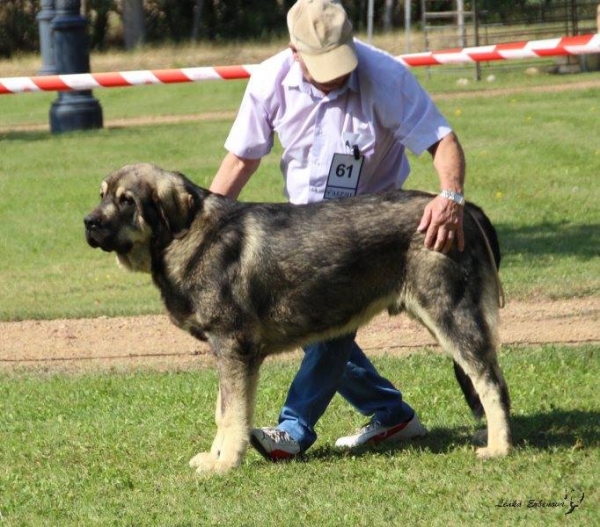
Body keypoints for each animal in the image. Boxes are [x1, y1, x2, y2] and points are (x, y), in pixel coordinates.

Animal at [83, 162, 510, 474]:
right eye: (102, 195)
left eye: (127, 201)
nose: (88, 222)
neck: (186, 235)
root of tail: (462, 211)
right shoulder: (231, 354)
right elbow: (223, 411)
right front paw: (216, 457)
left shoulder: (233, 348)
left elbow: (232, 414)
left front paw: (225, 464)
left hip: (451, 314)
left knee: (490, 382)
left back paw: (498, 447)